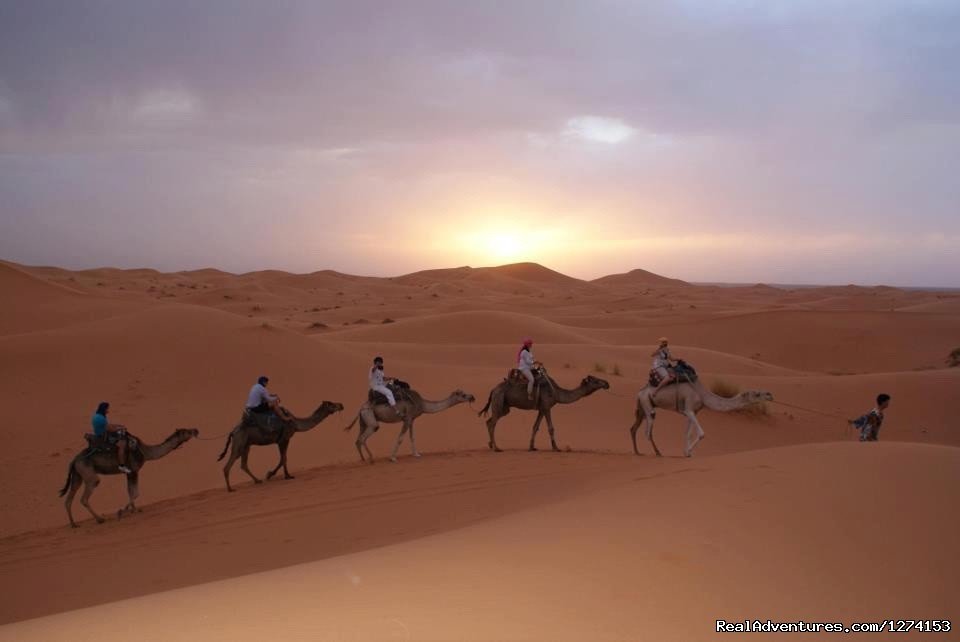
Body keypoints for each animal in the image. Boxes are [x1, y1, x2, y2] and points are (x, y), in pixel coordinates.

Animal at [57, 428, 199, 528]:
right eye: (186, 431)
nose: (196, 430)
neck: (145, 452)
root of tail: (73, 460)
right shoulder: (133, 470)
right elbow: (135, 492)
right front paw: (122, 512)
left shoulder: (129, 473)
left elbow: (131, 491)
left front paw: (134, 510)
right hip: (88, 474)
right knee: (85, 496)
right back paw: (100, 519)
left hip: (77, 475)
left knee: (68, 499)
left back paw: (74, 524)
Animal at [216, 400, 344, 490]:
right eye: (331, 404)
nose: (341, 405)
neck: (295, 423)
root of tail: (233, 432)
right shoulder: (284, 439)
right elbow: (283, 459)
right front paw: (276, 475)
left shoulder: (281, 440)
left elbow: (283, 458)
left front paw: (281, 475)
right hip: (239, 443)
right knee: (228, 465)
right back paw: (230, 489)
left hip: (246, 445)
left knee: (243, 464)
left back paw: (257, 481)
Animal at [344, 388, 480, 462]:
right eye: (463, 395)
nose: (472, 397)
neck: (422, 404)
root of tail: (361, 408)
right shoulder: (407, 418)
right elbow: (400, 438)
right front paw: (392, 458)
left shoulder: (412, 419)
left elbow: (412, 436)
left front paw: (416, 454)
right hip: (370, 419)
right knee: (363, 437)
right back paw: (371, 459)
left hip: (363, 420)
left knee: (358, 439)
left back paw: (363, 459)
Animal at [478, 370, 608, 450]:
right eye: (595, 381)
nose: (607, 383)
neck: (557, 393)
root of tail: (493, 389)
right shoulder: (547, 407)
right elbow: (551, 428)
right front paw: (556, 448)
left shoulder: (541, 409)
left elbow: (535, 427)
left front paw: (532, 447)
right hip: (499, 400)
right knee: (492, 423)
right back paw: (496, 448)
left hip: (504, 407)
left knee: (489, 421)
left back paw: (491, 445)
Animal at [632, 378, 772, 458]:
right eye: (757, 394)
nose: (770, 394)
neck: (703, 395)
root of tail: (639, 392)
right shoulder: (689, 409)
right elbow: (701, 433)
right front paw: (688, 452)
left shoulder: (692, 412)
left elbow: (687, 433)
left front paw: (686, 453)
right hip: (646, 403)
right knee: (648, 431)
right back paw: (657, 453)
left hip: (641, 407)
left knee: (634, 428)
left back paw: (637, 451)